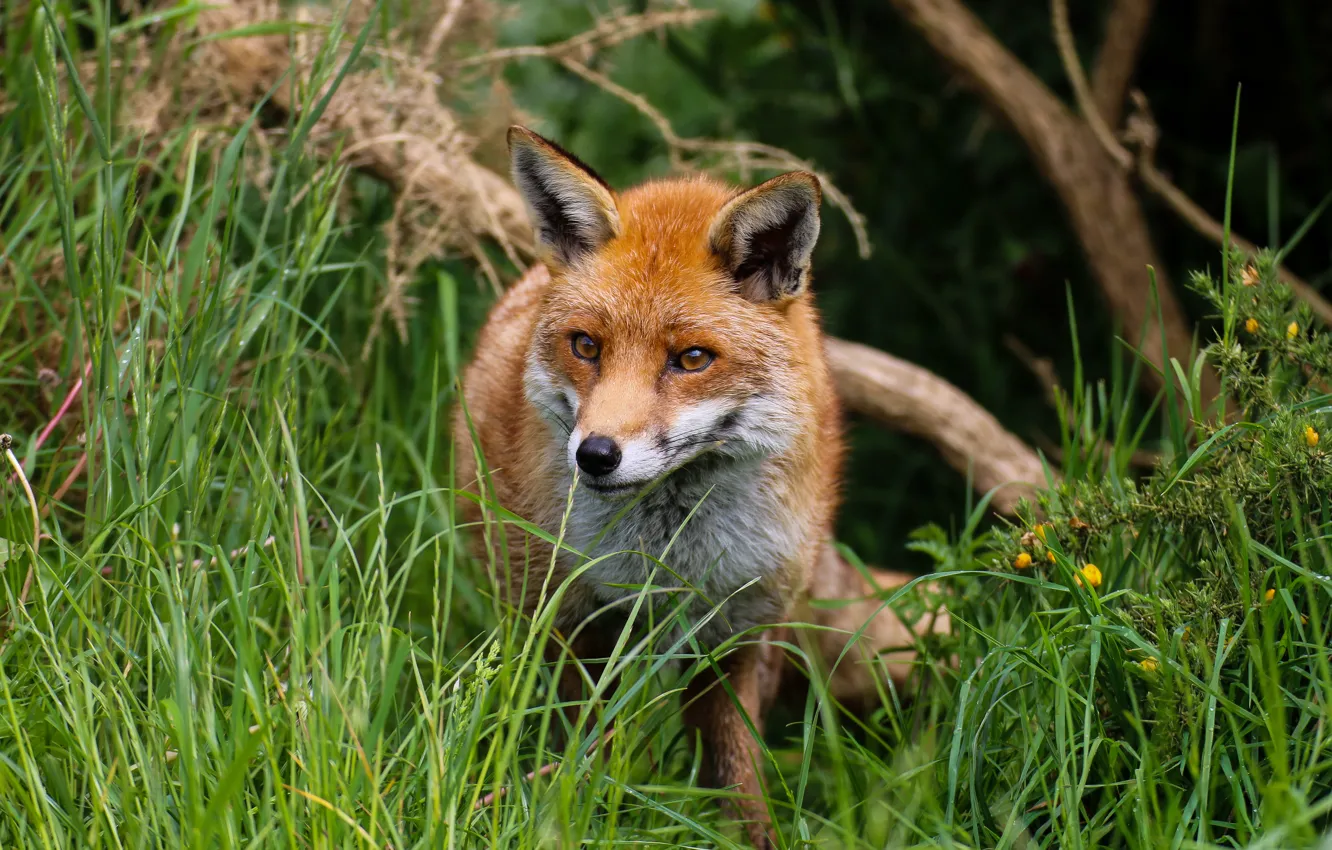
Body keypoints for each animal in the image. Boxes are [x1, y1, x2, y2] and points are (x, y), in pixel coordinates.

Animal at [458, 127, 948, 850]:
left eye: (691, 359)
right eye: (586, 346)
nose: (595, 456)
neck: (668, 557)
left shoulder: (739, 635)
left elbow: (737, 774)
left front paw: (753, 838)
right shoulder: (576, 625)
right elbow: (590, 755)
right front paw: (578, 819)